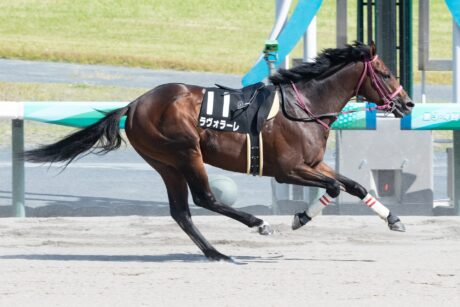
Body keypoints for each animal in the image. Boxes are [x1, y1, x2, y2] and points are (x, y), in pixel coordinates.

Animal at [25, 41, 414, 262]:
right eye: (386, 73)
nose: (408, 104)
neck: (305, 106)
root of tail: (134, 105)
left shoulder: (314, 163)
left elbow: (354, 186)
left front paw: (394, 219)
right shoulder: (288, 169)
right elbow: (334, 187)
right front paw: (299, 218)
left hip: (165, 163)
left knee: (181, 211)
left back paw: (215, 252)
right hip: (185, 152)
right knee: (205, 199)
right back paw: (256, 225)